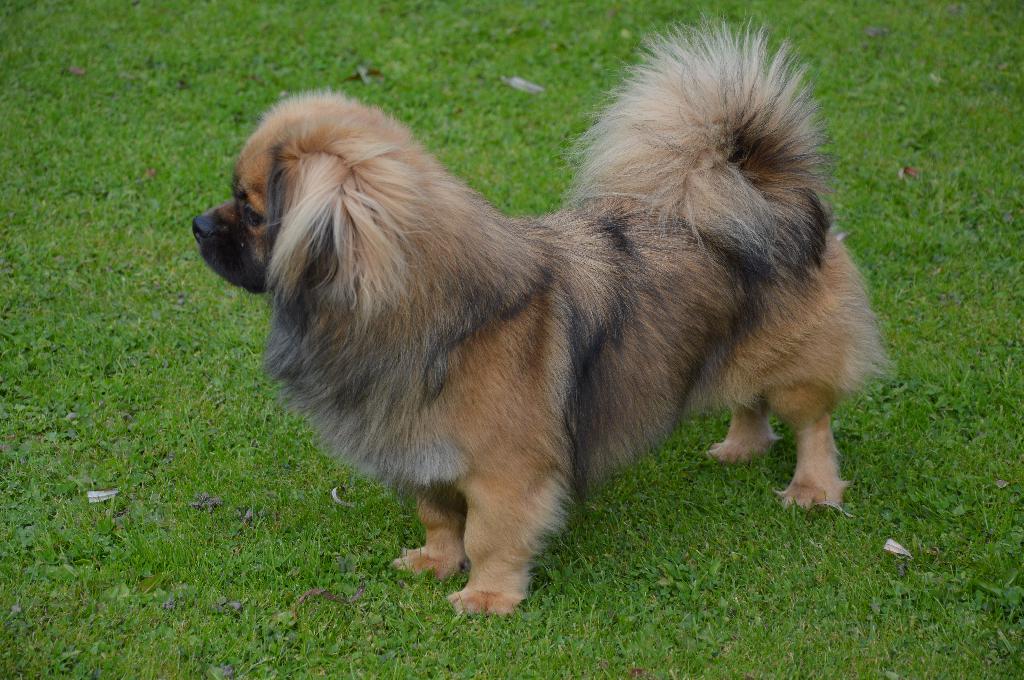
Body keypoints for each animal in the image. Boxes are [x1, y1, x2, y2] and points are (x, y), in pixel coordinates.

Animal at [192, 25, 885, 614]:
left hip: (796, 368)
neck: (433, 319)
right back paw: (740, 447)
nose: (198, 224)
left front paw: (486, 597)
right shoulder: (423, 452)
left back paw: (813, 489)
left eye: (251, 211)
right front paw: (435, 562)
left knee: (811, 423)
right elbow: (440, 519)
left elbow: (491, 536)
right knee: (747, 400)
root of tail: (773, 190)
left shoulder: (505, 473)